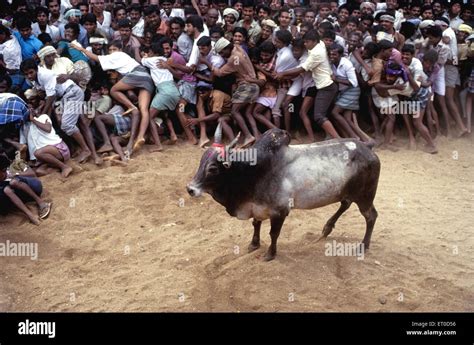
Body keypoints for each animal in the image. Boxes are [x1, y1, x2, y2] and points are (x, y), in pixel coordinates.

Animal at [186, 126, 382, 260]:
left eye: (212, 168)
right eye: (201, 162)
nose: (190, 188)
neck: (252, 171)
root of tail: (367, 146)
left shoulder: (279, 211)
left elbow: (273, 234)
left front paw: (270, 254)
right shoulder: (257, 207)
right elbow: (256, 224)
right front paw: (254, 244)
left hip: (365, 196)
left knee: (371, 216)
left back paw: (363, 246)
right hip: (348, 192)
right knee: (345, 204)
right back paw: (326, 229)